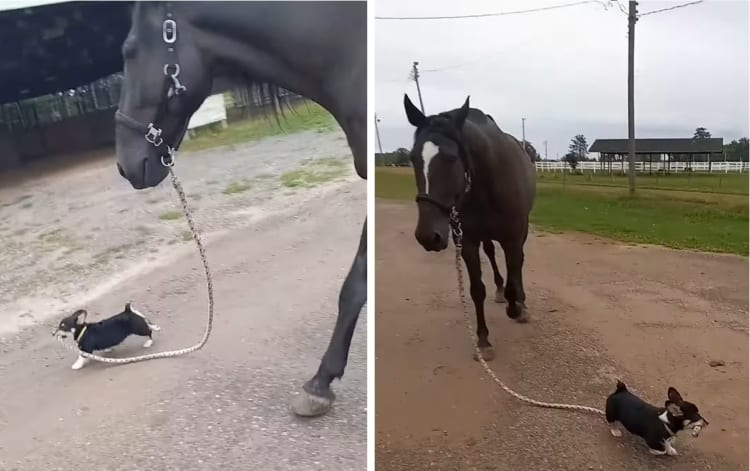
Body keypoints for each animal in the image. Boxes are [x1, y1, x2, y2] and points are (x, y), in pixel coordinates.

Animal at [403, 94, 536, 362]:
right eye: (413, 158)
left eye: (451, 157)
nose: (427, 236)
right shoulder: (467, 241)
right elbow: (477, 290)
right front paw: (483, 341)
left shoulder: (513, 238)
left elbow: (515, 274)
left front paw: (516, 307)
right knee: (492, 255)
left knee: (519, 264)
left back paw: (521, 302)